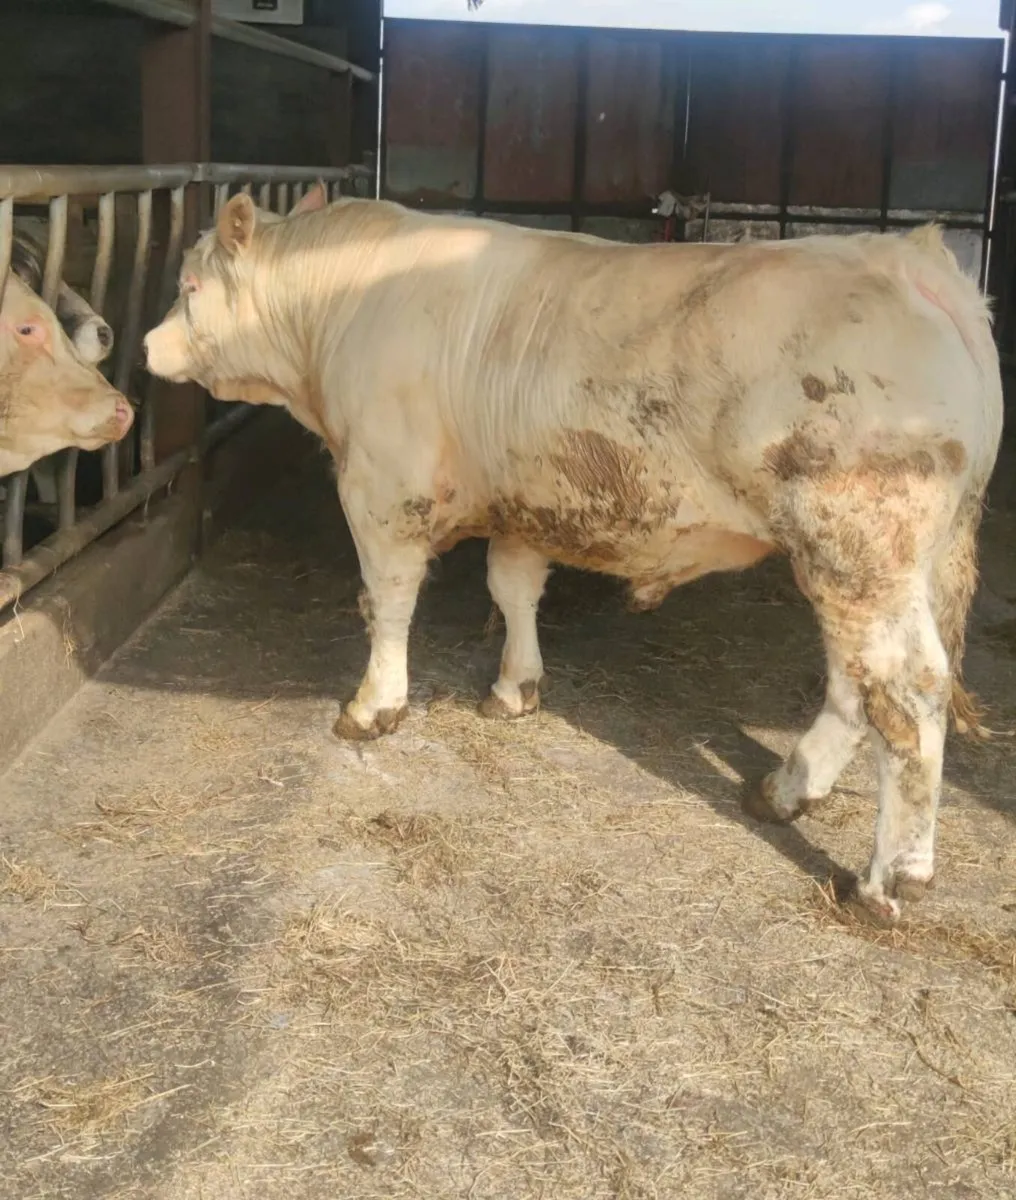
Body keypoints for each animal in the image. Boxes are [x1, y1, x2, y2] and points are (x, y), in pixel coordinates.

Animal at [143, 184, 1003, 926]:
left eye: (188, 283)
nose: (149, 345)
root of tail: (915, 260)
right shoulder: (527, 497)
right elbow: (514, 586)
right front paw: (515, 686)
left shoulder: (383, 488)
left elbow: (386, 600)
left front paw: (373, 706)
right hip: (880, 564)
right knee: (857, 686)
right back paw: (786, 789)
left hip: (856, 547)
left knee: (906, 690)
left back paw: (891, 878)